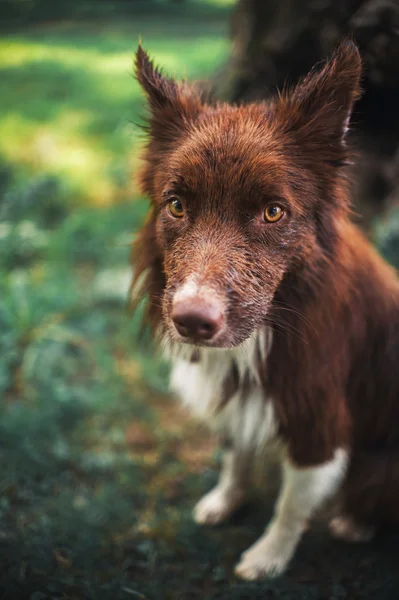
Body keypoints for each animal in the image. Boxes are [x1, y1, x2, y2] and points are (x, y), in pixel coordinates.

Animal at [130, 38, 399, 580]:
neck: (276, 321)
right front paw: (223, 501)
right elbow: (235, 454)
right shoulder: (237, 395)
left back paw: (354, 523)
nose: (192, 322)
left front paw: (267, 558)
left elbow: (290, 507)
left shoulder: (317, 421)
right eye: (176, 205)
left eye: (273, 211)